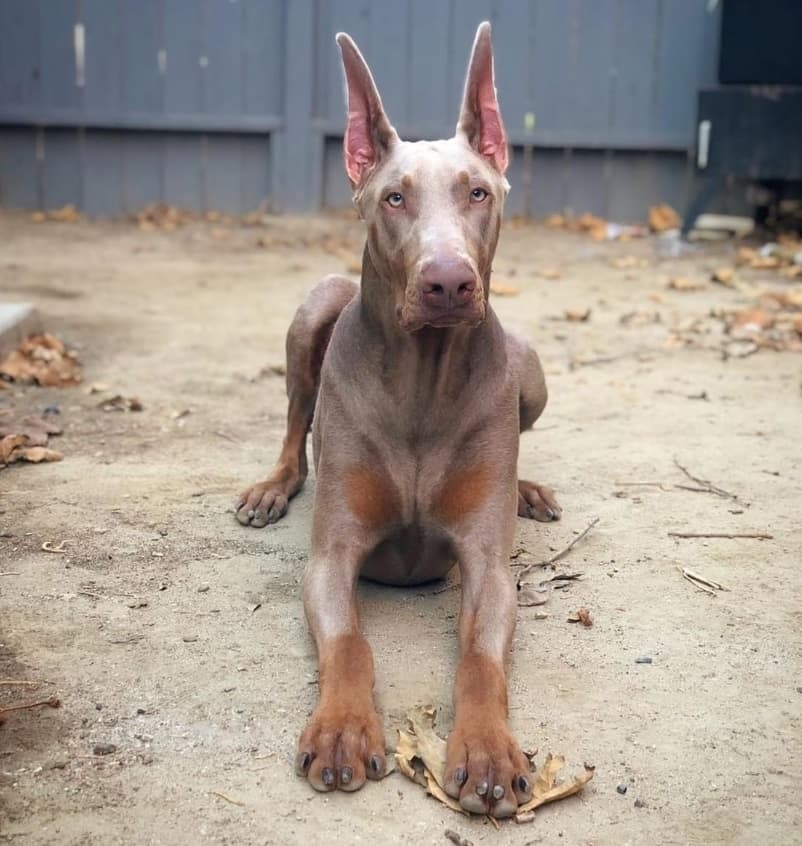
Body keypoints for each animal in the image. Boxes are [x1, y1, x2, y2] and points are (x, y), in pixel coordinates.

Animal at [234, 23, 560, 820]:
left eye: (477, 191)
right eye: (393, 198)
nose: (448, 282)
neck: (422, 383)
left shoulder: (487, 567)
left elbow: (480, 657)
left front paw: (486, 750)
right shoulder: (332, 557)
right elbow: (350, 642)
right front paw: (343, 731)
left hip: (529, 362)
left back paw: (529, 489)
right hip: (316, 305)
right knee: (297, 422)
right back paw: (271, 487)